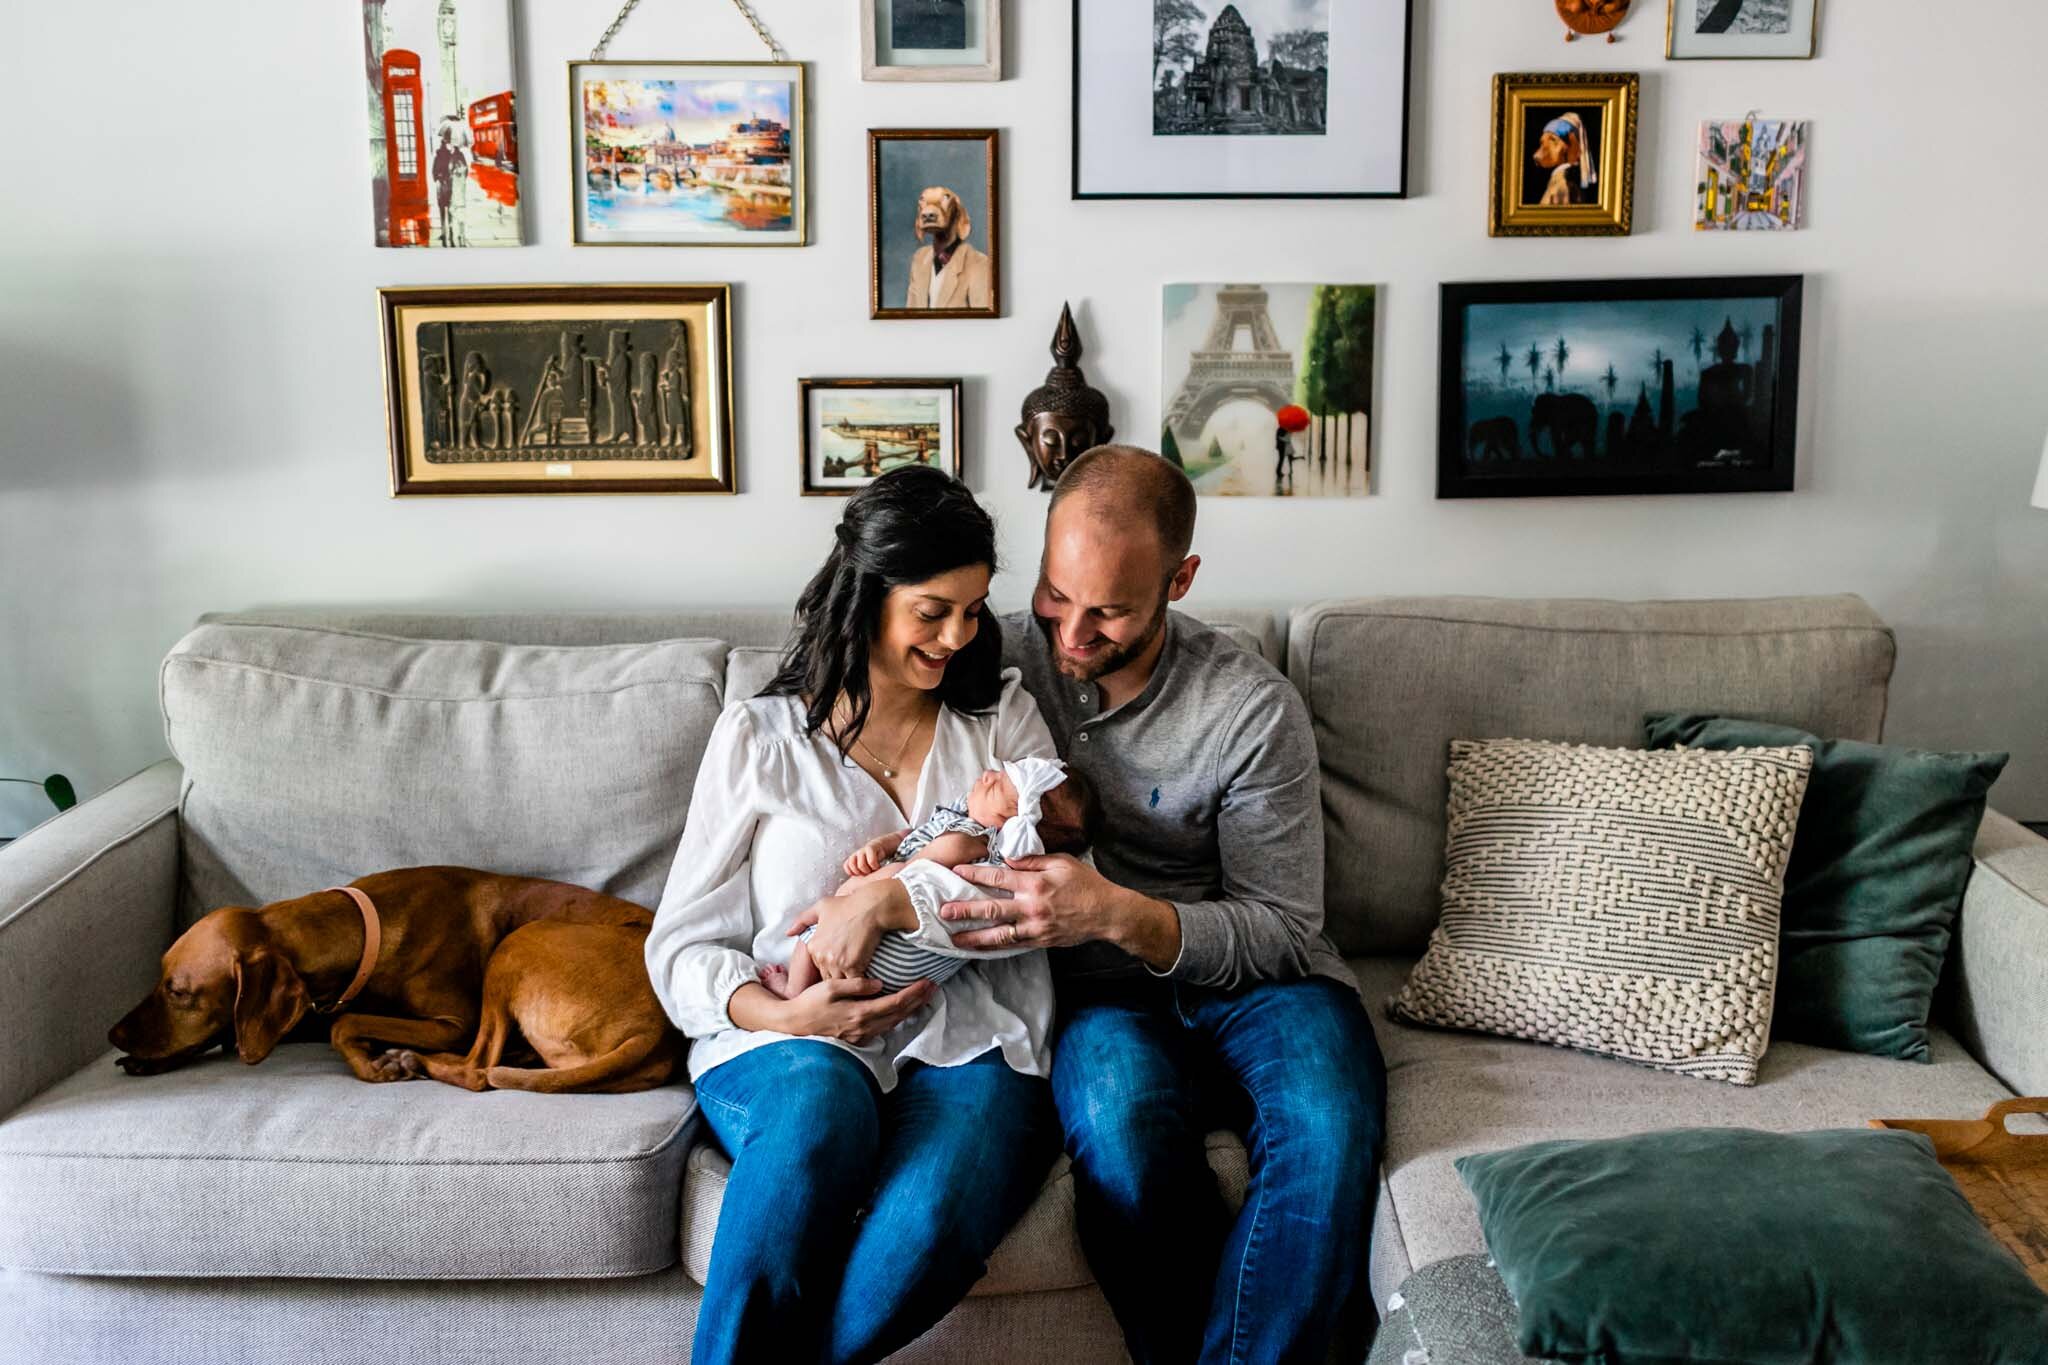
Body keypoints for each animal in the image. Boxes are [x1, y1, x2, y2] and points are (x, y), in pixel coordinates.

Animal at [110, 863, 679, 1096]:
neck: (363, 929)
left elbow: (344, 1026)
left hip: (519, 943)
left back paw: (418, 1062)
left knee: (477, 1069)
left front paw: (372, 1064)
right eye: (159, 976)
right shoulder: (302, 1011)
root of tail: (658, 1028)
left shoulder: (452, 1021)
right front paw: (148, 1060)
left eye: (179, 992)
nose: (112, 1033)